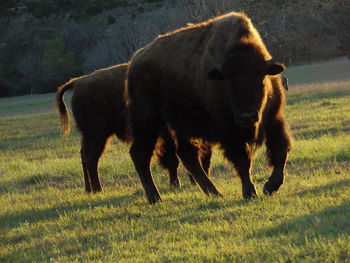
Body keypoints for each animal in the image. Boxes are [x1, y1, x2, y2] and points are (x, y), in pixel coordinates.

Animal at [55, 63, 209, 193]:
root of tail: (78, 82)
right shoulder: (166, 134)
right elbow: (173, 158)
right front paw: (175, 183)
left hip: (89, 135)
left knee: (84, 155)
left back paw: (89, 189)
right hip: (97, 135)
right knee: (91, 158)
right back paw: (98, 189)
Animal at [126, 12, 292, 204]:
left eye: (261, 76)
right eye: (228, 79)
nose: (247, 116)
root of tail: (134, 63)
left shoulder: (275, 120)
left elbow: (281, 151)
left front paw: (270, 187)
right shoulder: (230, 131)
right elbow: (243, 160)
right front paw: (250, 192)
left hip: (181, 125)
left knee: (187, 155)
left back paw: (214, 192)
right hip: (148, 122)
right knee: (140, 154)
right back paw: (155, 198)